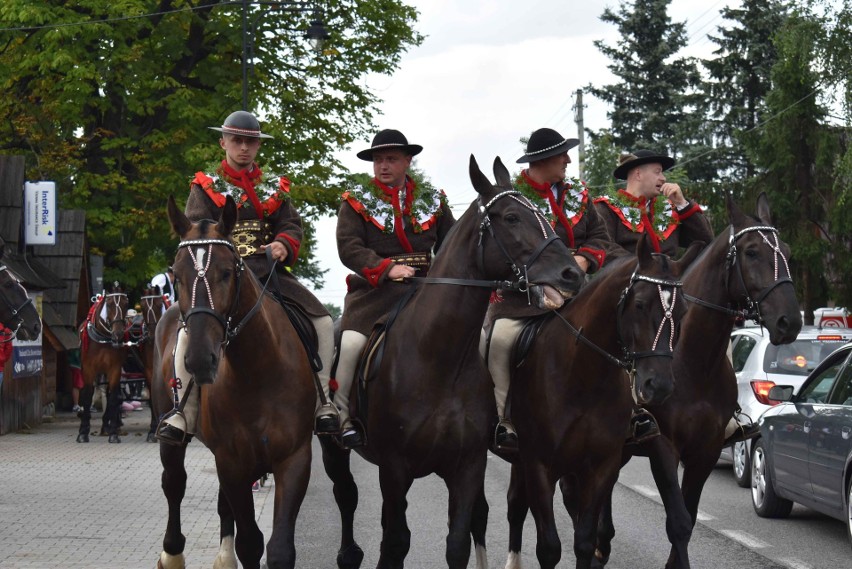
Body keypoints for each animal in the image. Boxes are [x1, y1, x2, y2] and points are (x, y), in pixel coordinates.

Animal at [76, 282, 130, 444]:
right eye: (110, 304)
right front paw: (83, 432)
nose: (118, 334)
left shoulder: (115, 369)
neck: (103, 338)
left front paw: (113, 434)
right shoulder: (88, 369)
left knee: (109, 393)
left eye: (126, 304)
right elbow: (87, 395)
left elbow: (113, 398)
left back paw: (107, 425)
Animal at [152, 194, 312, 568]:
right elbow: (251, 542)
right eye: (177, 277)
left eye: (226, 272)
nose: (198, 359)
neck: (257, 372)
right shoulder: (232, 461)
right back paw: (172, 553)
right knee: (174, 483)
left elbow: (279, 549)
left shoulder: (293, 458)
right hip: (175, 436)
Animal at [320, 155, 584, 568]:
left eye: (543, 212)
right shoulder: (394, 468)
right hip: (334, 448)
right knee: (347, 497)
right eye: (511, 217)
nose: (572, 273)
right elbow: (395, 542)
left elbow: (456, 542)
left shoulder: (467, 467)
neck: (437, 357)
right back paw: (349, 553)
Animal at [500, 234, 700, 568]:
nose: (658, 386)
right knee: (515, 508)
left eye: (684, 311)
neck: (583, 379)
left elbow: (584, 542)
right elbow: (549, 548)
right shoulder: (539, 466)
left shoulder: (600, 468)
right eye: (640, 304)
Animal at [588, 193, 804, 564]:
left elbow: (687, 520)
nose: (789, 321)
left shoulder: (706, 450)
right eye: (751, 252)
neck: (693, 364)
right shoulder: (662, 446)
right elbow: (677, 522)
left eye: (788, 251)